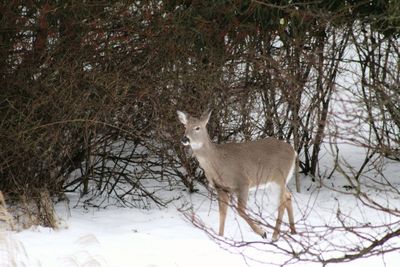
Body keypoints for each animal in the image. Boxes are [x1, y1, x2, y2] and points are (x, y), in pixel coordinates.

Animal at [178, 110, 296, 242]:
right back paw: (293, 231)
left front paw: (262, 232)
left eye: (197, 127)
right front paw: (220, 236)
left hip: (279, 178)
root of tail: (294, 152)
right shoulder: (221, 188)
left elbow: (240, 211)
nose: (184, 138)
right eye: (185, 126)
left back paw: (275, 236)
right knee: (288, 196)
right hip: (274, 182)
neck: (217, 163)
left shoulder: (243, 182)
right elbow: (222, 213)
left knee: (281, 203)